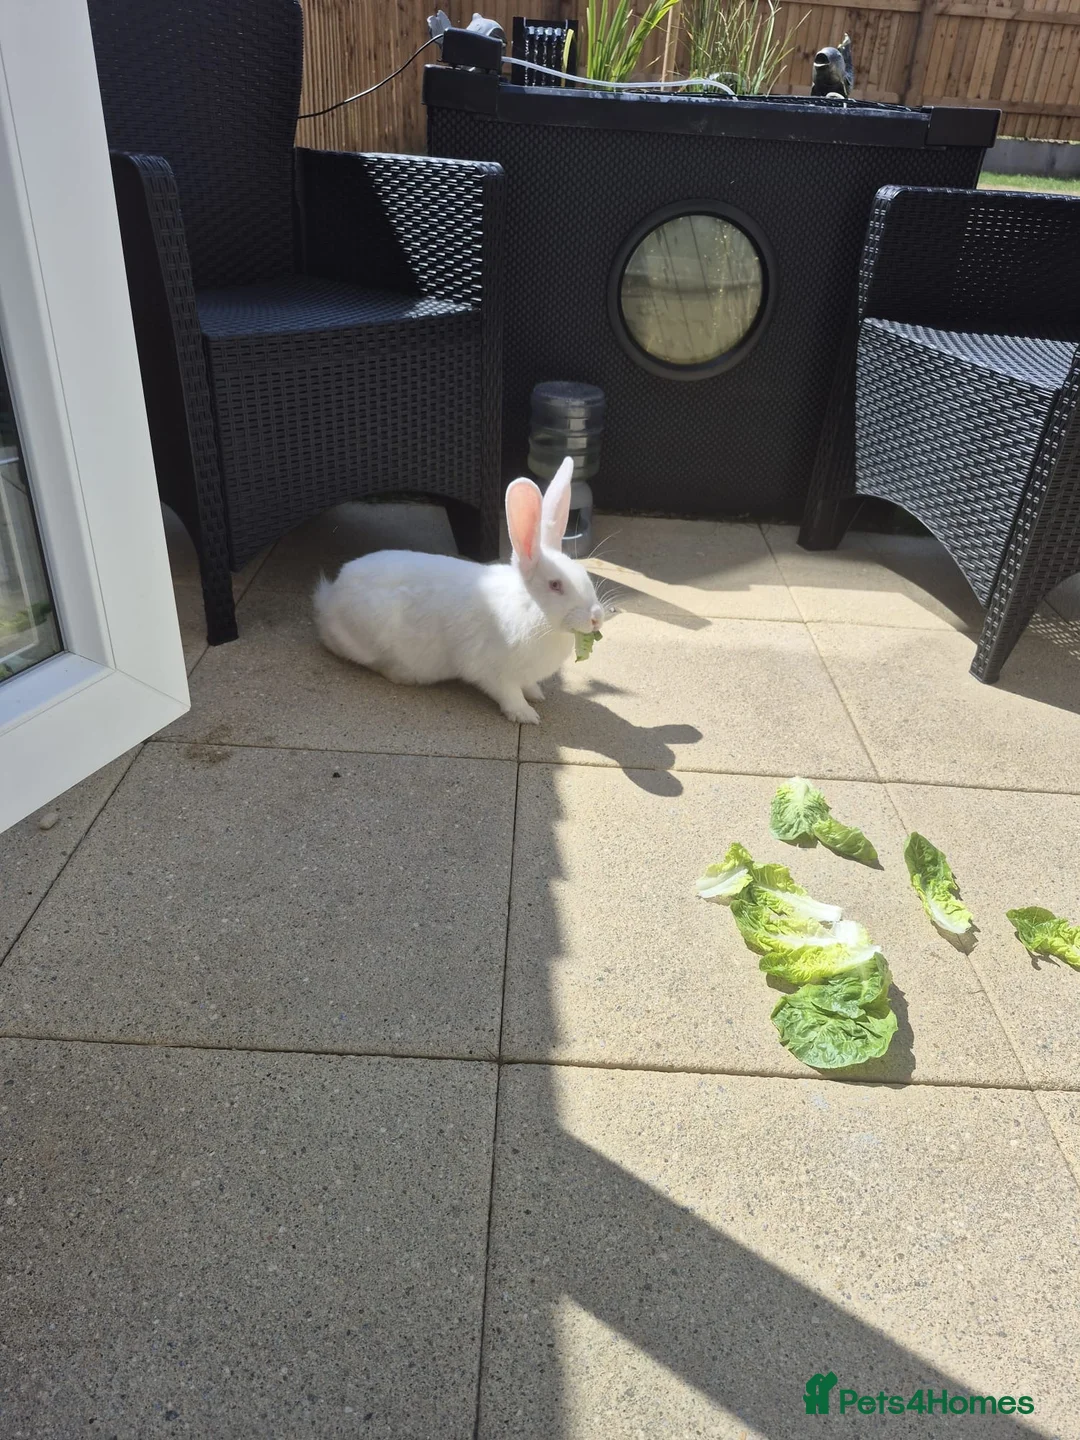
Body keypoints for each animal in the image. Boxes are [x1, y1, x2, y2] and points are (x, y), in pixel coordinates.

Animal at [312, 457, 606, 724]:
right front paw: (527, 716)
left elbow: (528, 686)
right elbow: (509, 695)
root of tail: (331, 595)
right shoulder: (495, 673)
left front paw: (536, 695)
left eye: (585, 575)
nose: (596, 618)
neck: (531, 609)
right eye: (555, 585)